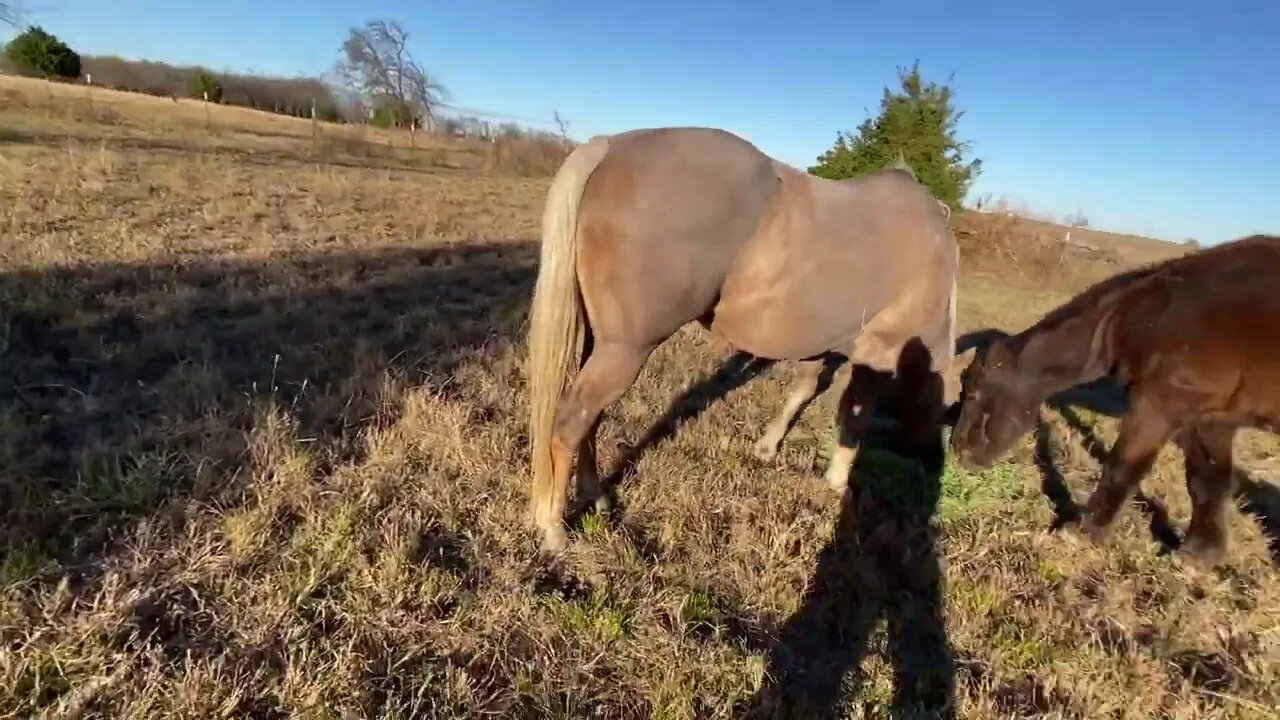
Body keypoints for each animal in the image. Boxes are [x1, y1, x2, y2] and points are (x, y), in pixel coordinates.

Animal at [524, 126, 972, 548]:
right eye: (949, 406)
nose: (934, 466)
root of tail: (613, 145)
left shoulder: (823, 344)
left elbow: (804, 390)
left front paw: (767, 448)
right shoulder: (877, 353)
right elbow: (853, 417)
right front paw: (838, 481)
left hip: (599, 343)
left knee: (590, 419)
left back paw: (595, 497)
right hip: (625, 350)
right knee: (572, 420)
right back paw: (553, 528)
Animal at [952, 234, 1280, 566]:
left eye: (974, 391)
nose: (958, 448)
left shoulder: (1157, 405)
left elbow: (1121, 467)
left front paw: (1083, 530)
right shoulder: (1211, 419)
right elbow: (1208, 480)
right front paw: (1199, 553)